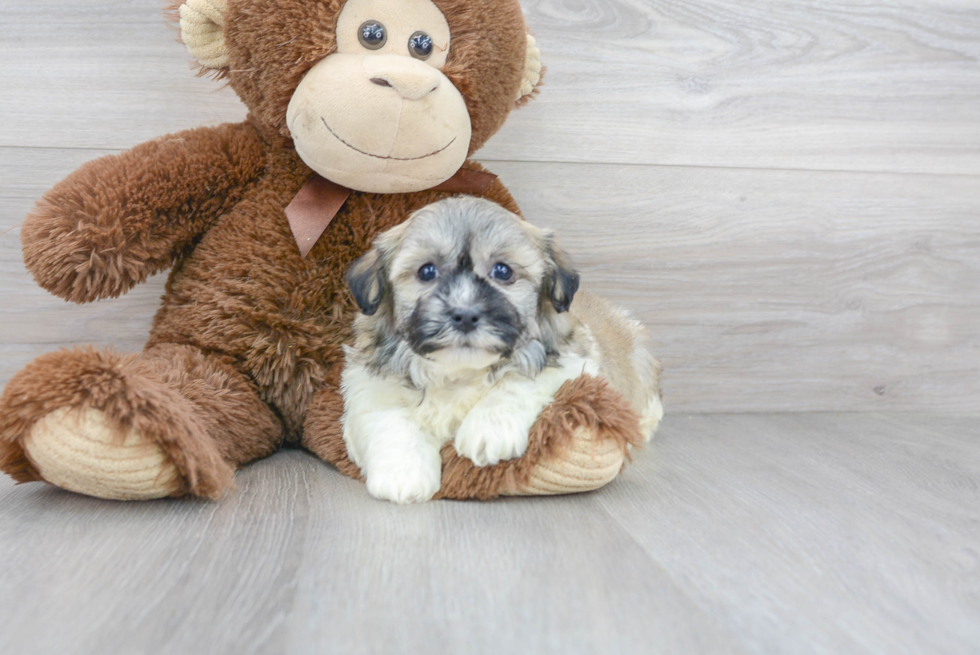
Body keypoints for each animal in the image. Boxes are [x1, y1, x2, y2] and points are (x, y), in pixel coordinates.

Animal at [340, 197, 664, 504]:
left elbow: (519, 381)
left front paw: (488, 430)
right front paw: (403, 473)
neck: (459, 371)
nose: (465, 314)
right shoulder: (368, 383)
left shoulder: (575, 361)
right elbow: (389, 417)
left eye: (502, 271)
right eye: (427, 271)